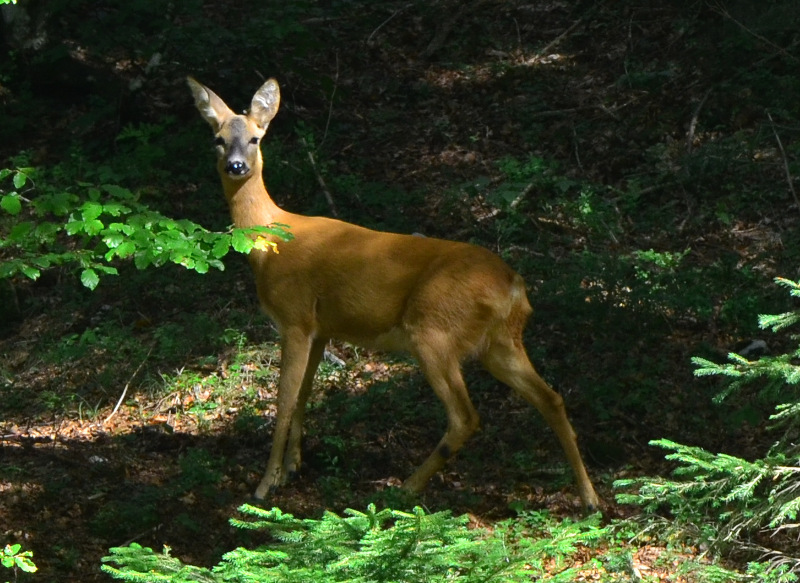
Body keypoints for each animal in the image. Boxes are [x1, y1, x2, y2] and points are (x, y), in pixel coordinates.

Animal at [188, 76, 600, 512]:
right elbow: (304, 396)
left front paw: (265, 485)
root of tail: (514, 286)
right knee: (551, 398)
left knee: (465, 416)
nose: (236, 166)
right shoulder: (321, 328)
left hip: (435, 329)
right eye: (217, 139)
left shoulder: (295, 317)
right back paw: (590, 498)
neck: (270, 241)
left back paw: (403, 488)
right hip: (499, 342)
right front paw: (293, 468)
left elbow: (283, 401)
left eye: (255, 138)